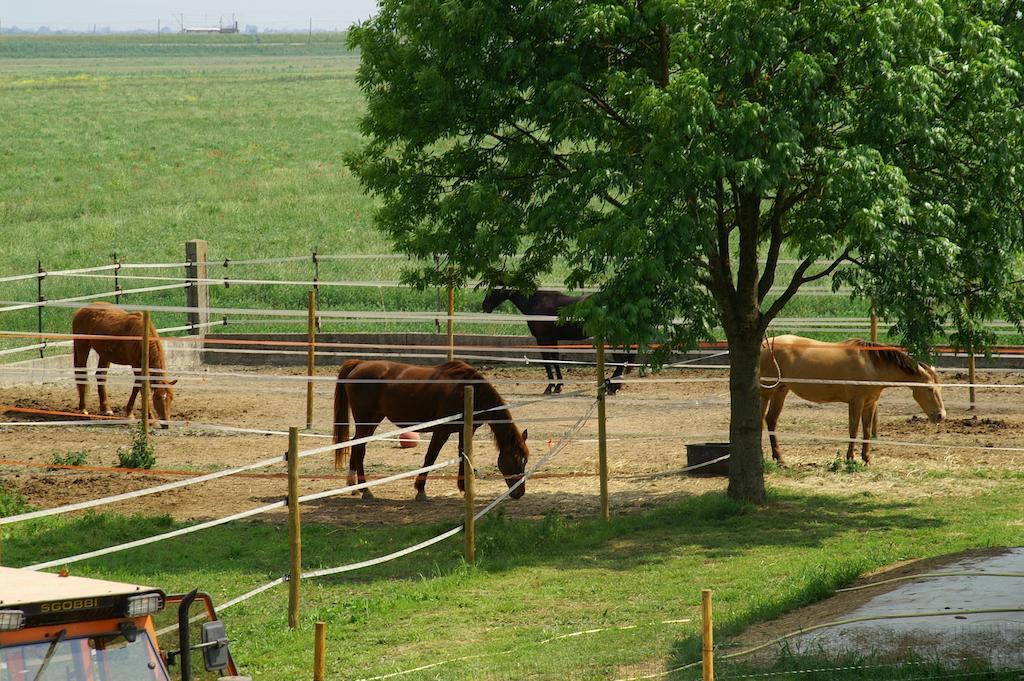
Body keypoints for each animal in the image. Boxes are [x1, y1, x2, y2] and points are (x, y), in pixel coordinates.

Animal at [333, 360, 532, 499]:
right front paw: (420, 490)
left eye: (525, 461)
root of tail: (360, 364)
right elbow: (431, 457)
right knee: (359, 448)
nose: (519, 493)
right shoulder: (442, 431)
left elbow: (463, 455)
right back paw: (365, 490)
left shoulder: (464, 431)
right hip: (365, 420)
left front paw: (464, 488)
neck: (468, 390)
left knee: (357, 445)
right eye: (515, 460)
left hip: (373, 420)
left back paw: (354, 486)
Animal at [479, 286, 630, 393]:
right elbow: (555, 360)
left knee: (620, 360)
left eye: (495, 288)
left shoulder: (542, 339)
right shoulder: (552, 339)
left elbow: (547, 361)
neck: (535, 303)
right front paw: (558, 386)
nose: (485, 306)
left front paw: (549, 387)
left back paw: (613, 387)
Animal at [761, 333, 942, 464]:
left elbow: (867, 430)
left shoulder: (870, 403)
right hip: (766, 392)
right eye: (930, 388)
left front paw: (867, 459)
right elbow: (853, 429)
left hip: (781, 391)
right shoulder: (857, 402)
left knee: (771, 420)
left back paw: (780, 459)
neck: (872, 365)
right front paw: (850, 458)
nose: (941, 415)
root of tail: (764, 344)